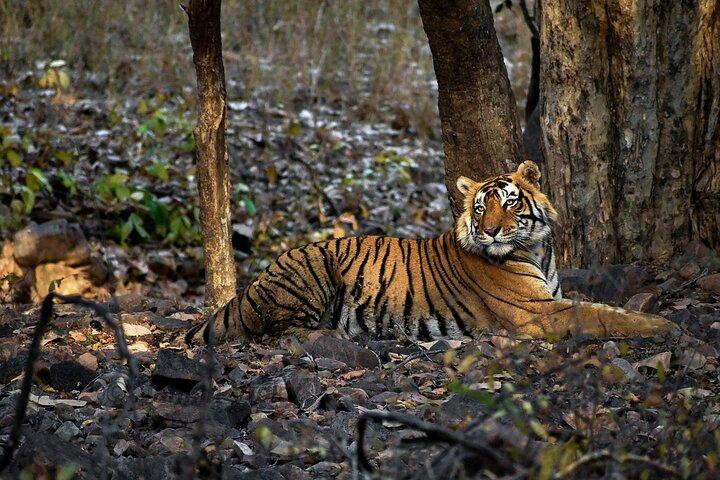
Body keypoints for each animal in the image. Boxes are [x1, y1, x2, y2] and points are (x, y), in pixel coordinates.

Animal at [186, 161, 676, 345]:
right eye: (480, 207)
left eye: (510, 202)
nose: (490, 231)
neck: (537, 248)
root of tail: (252, 285)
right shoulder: (536, 312)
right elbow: (601, 314)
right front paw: (665, 326)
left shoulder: (550, 299)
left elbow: (600, 307)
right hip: (314, 266)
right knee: (279, 332)